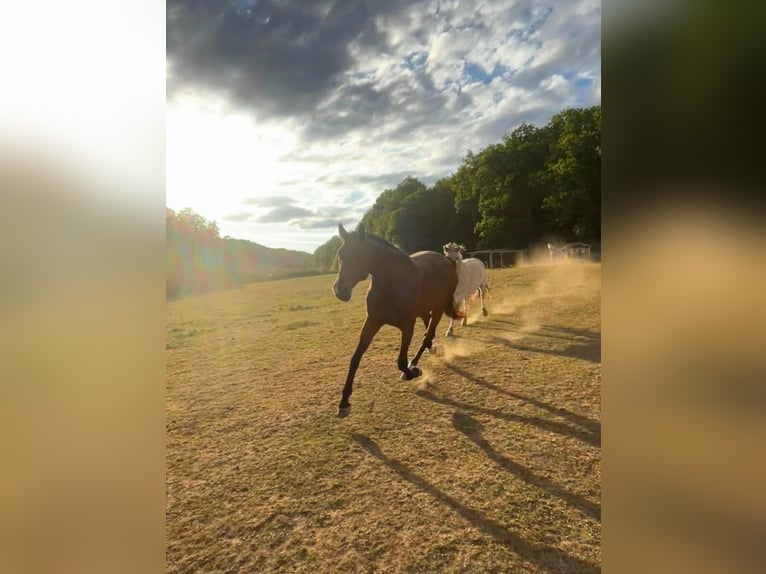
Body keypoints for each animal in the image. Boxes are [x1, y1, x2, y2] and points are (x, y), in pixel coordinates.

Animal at [332, 223, 463, 417]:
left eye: (357, 256)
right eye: (340, 256)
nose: (340, 291)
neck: (391, 285)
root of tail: (447, 260)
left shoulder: (407, 325)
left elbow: (401, 361)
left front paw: (412, 372)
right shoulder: (372, 322)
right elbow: (355, 359)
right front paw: (344, 403)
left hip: (438, 308)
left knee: (428, 334)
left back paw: (415, 362)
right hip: (425, 310)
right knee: (428, 330)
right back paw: (428, 351)